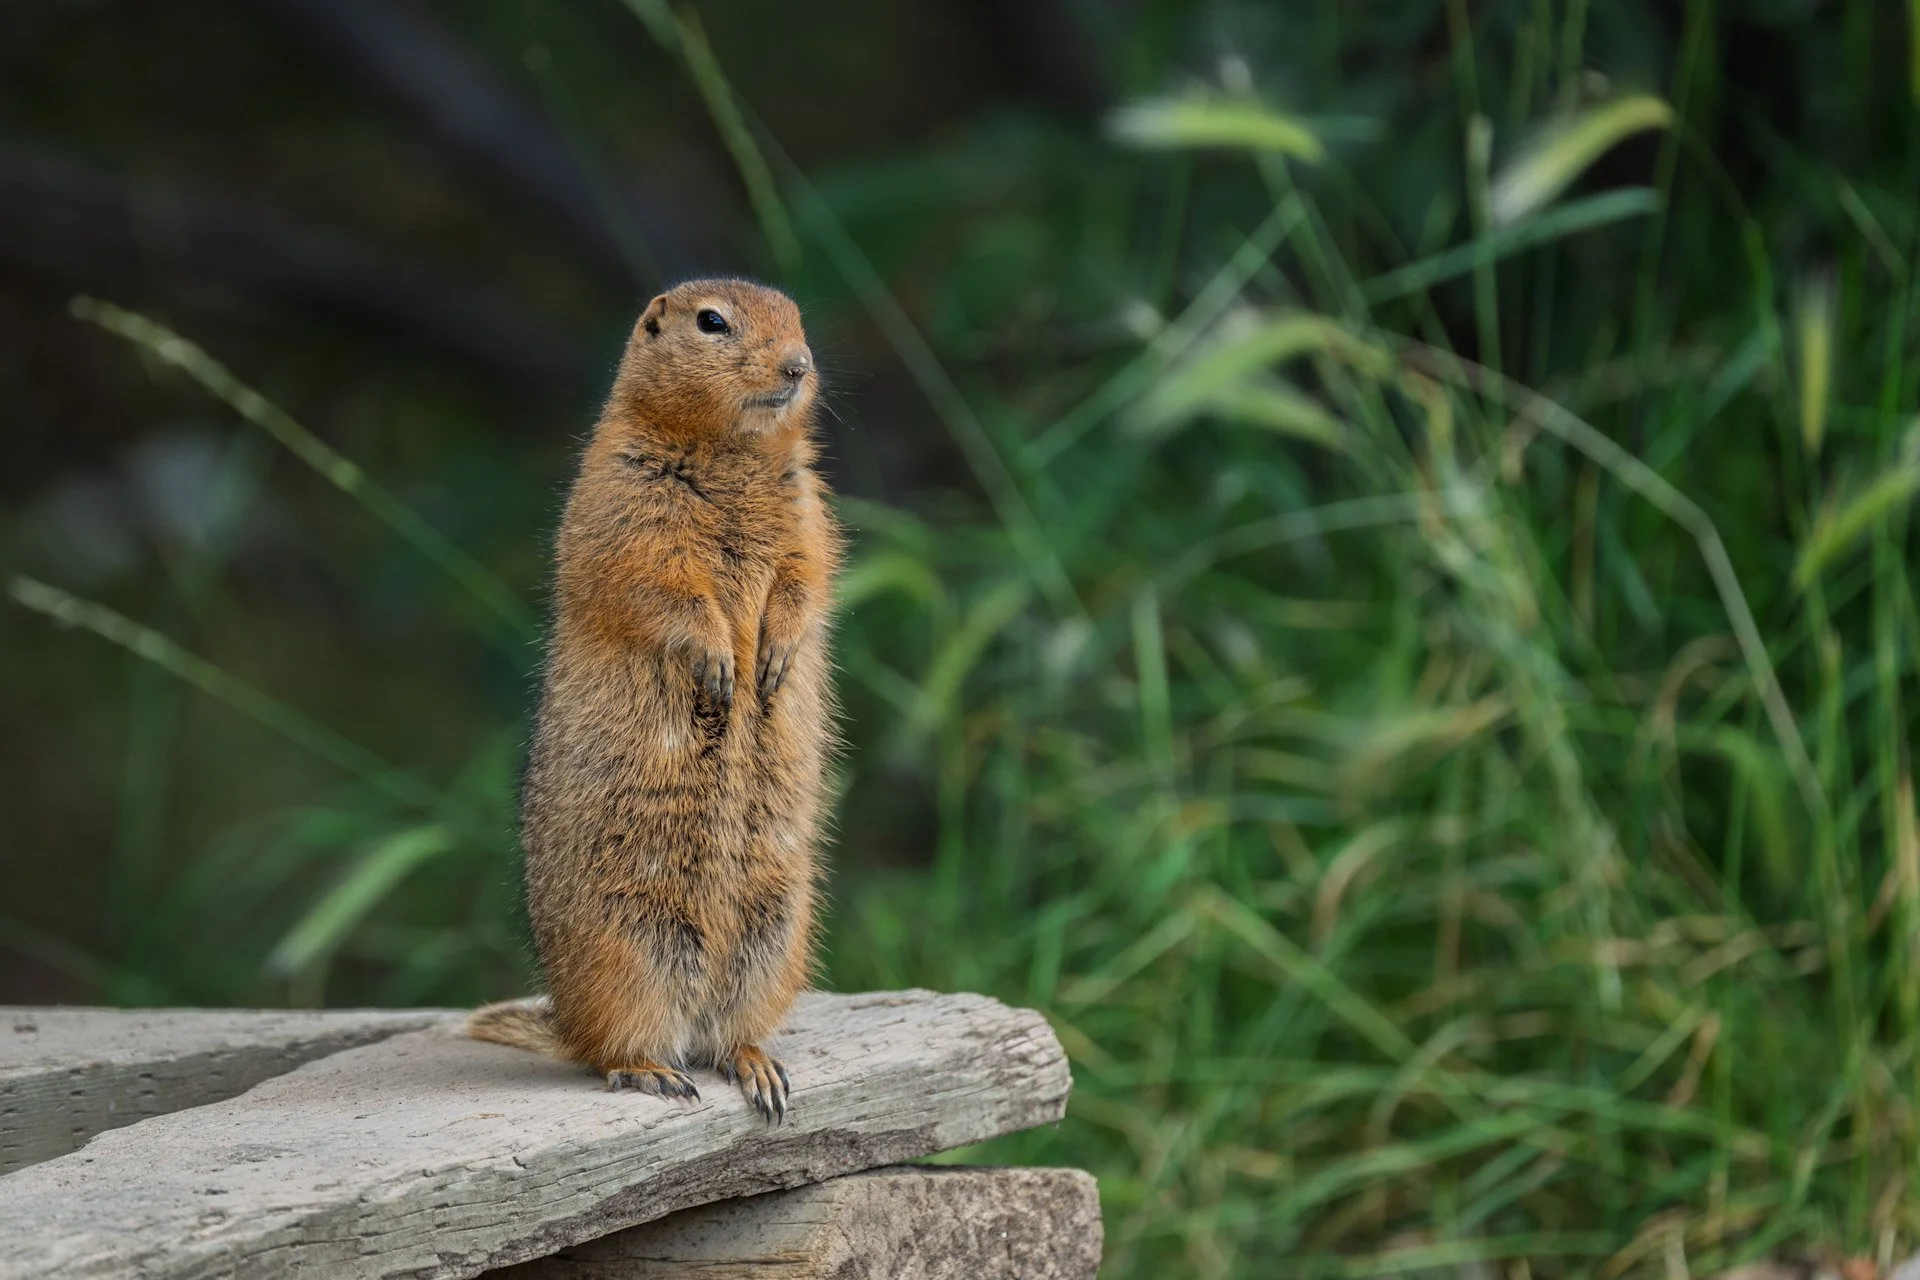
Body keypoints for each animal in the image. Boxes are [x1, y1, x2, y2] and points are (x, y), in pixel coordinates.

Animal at [468, 278, 840, 1124]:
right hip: (630, 947)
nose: (800, 364)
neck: (736, 451)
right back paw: (649, 1070)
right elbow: (663, 590)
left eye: (800, 319)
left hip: (775, 935)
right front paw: (721, 665)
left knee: (726, 1033)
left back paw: (756, 1067)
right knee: (612, 1050)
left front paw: (774, 656)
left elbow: (807, 576)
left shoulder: (808, 508)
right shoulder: (627, 502)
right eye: (712, 322)